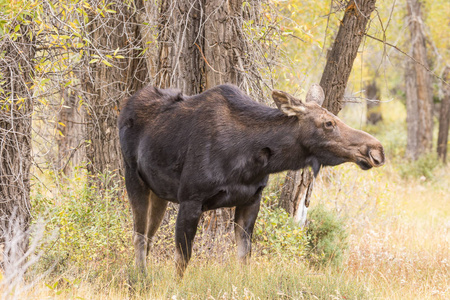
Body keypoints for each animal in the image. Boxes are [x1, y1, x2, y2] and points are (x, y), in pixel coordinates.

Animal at [118, 83, 384, 278]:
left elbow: (244, 257)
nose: (376, 150)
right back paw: (141, 278)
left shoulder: (251, 199)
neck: (251, 157)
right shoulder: (191, 198)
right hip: (133, 176)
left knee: (148, 236)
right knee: (139, 235)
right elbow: (183, 259)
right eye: (328, 123)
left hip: (159, 192)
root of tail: (125, 106)